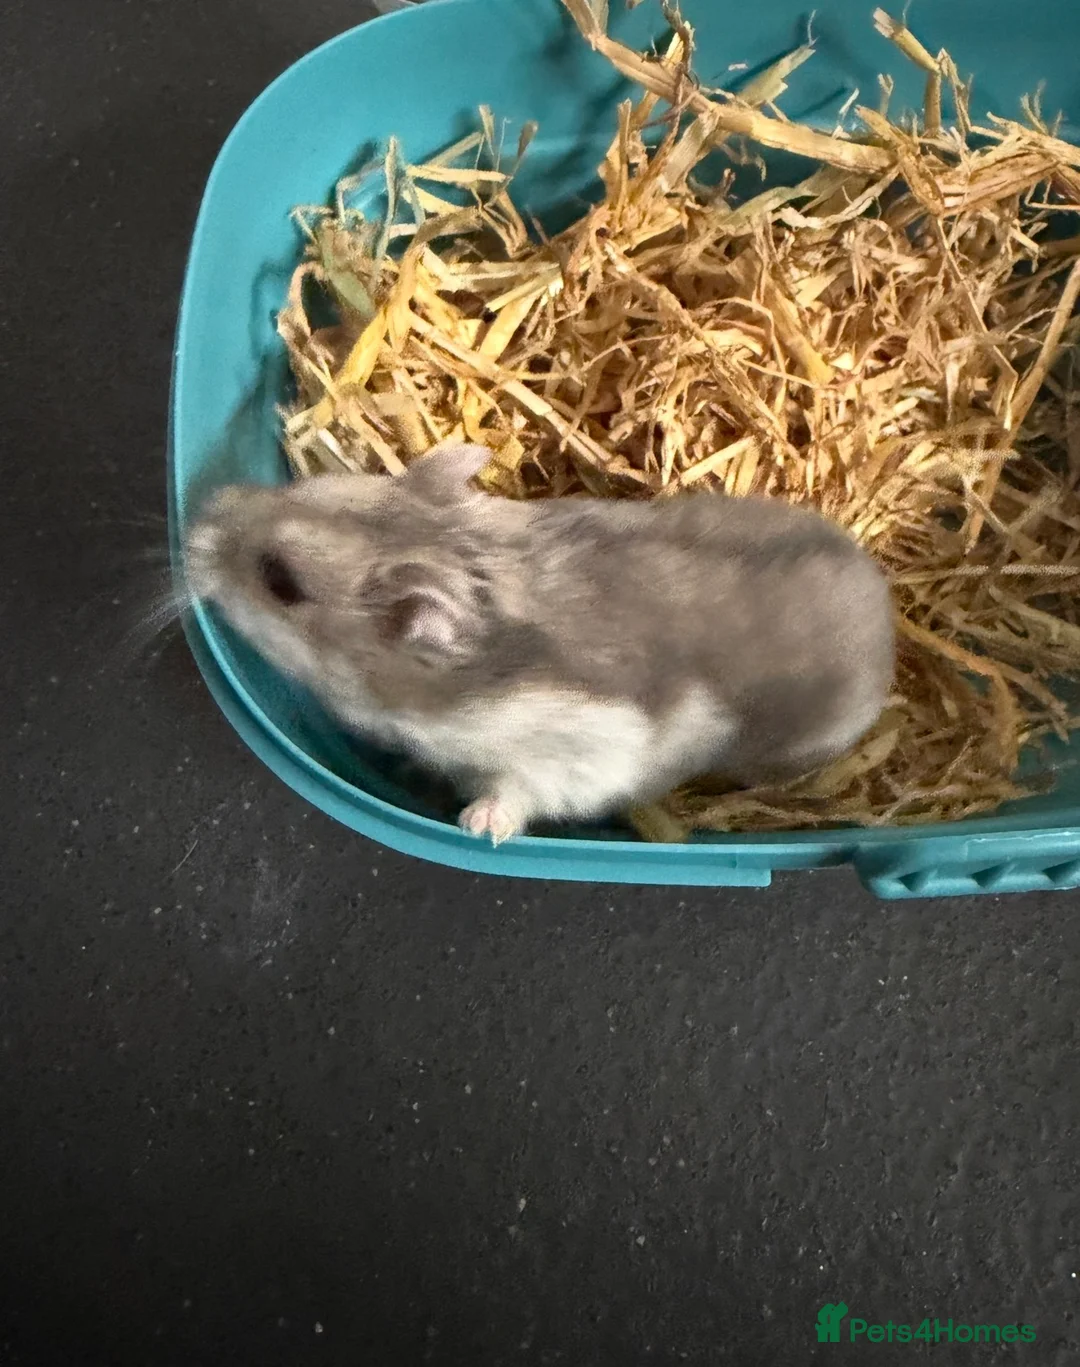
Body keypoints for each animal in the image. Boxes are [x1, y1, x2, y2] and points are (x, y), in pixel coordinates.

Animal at [185, 441, 895, 843]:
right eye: (296, 486)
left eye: (280, 580)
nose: (196, 527)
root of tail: (886, 610)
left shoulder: (570, 755)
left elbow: (516, 793)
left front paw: (475, 825)